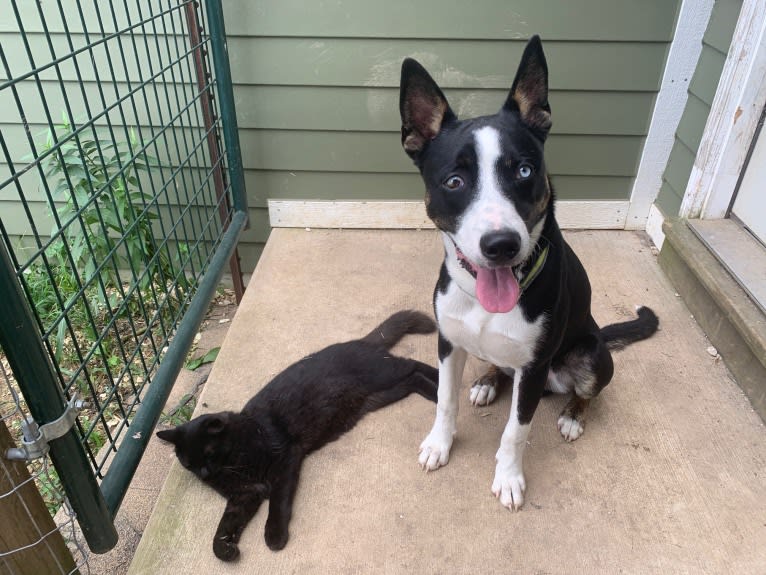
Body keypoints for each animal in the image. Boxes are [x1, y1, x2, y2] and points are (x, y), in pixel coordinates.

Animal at [158, 310, 438, 564]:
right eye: (188, 463)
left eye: (209, 453)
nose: (204, 474)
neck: (235, 460)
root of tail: (361, 341)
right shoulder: (244, 496)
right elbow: (223, 527)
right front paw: (226, 549)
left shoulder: (285, 460)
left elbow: (278, 502)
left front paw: (274, 536)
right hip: (381, 394)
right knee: (413, 378)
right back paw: (435, 394)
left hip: (384, 375)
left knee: (413, 364)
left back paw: (442, 391)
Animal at [402, 38, 660, 510]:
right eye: (454, 181)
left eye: (524, 170)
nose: (501, 244)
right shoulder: (448, 342)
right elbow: (445, 401)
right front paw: (439, 444)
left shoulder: (535, 368)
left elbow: (515, 431)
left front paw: (508, 478)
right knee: (499, 368)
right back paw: (488, 381)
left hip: (590, 356)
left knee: (587, 393)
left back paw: (573, 416)